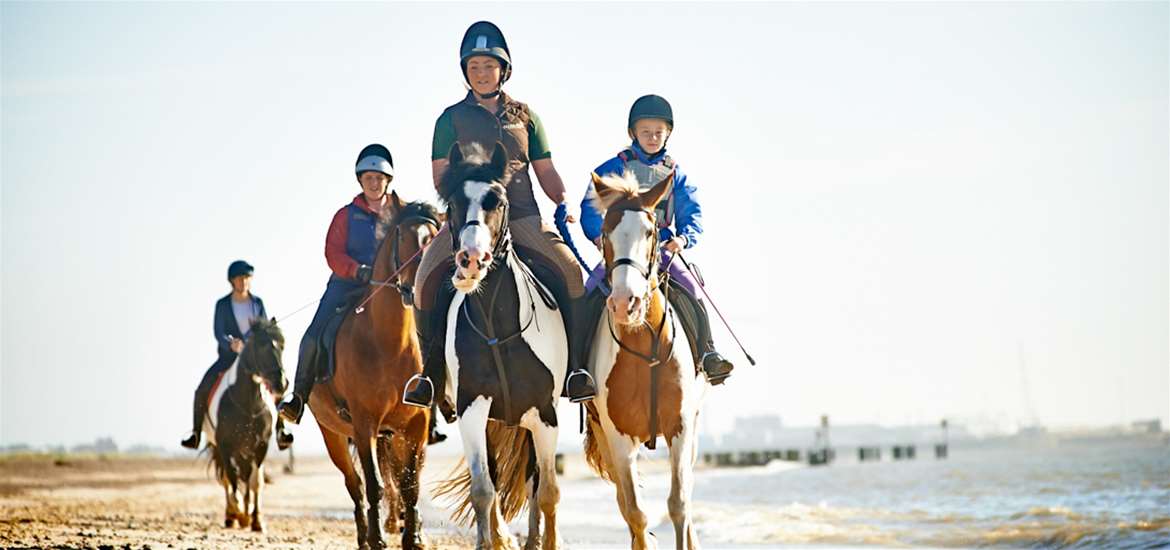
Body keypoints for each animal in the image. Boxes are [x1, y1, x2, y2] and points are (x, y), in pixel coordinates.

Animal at [201, 318, 287, 533]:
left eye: (282, 345)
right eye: (261, 345)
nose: (282, 384)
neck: (248, 402)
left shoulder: (261, 445)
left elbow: (255, 482)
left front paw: (256, 520)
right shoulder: (225, 446)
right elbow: (231, 478)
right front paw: (238, 511)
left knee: (247, 477)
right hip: (219, 448)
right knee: (226, 479)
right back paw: (231, 515)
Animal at [308, 194, 439, 550]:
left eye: (433, 238)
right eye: (403, 237)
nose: (414, 288)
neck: (390, 345)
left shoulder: (416, 425)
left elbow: (410, 485)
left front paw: (413, 538)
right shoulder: (365, 423)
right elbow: (374, 485)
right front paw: (379, 538)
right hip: (334, 435)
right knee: (354, 484)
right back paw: (365, 536)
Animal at [435, 142, 566, 550]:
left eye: (500, 201)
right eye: (452, 203)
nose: (471, 262)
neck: (497, 325)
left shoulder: (545, 414)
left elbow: (547, 491)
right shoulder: (472, 409)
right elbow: (483, 489)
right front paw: (489, 540)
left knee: (535, 479)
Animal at [577, 169, 702, 547]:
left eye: (650, 232)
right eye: (605, 233)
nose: (624, 303)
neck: (646, 348)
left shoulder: (680, 426)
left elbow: (678, 504)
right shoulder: (618, 436)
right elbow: (634, 511)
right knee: (623, 501)